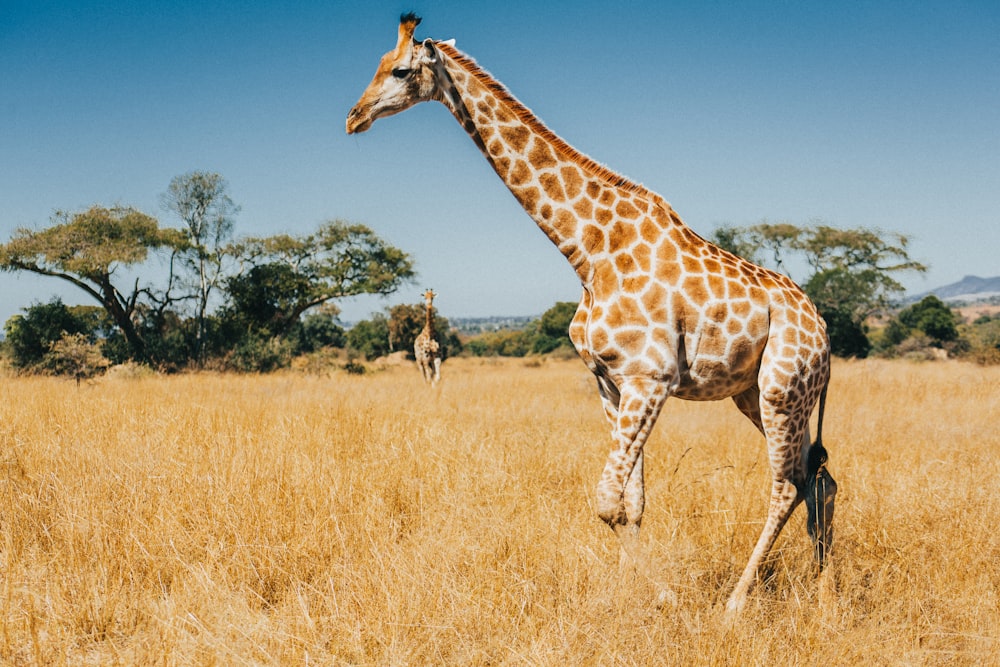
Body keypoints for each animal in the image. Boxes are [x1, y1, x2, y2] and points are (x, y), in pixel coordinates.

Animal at [348, 13, 840, 612]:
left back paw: (737, 603)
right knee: (817, 476)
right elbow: (631, 503)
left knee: (787, 483)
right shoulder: (612, 382)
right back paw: (823, 587)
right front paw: (638, 596)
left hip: (781, 389)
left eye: (399, 70)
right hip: (759, 394)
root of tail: (823, 329)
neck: (587, 251)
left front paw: (665, 597)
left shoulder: (650, 378)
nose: (353, 117)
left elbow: (606, 500)